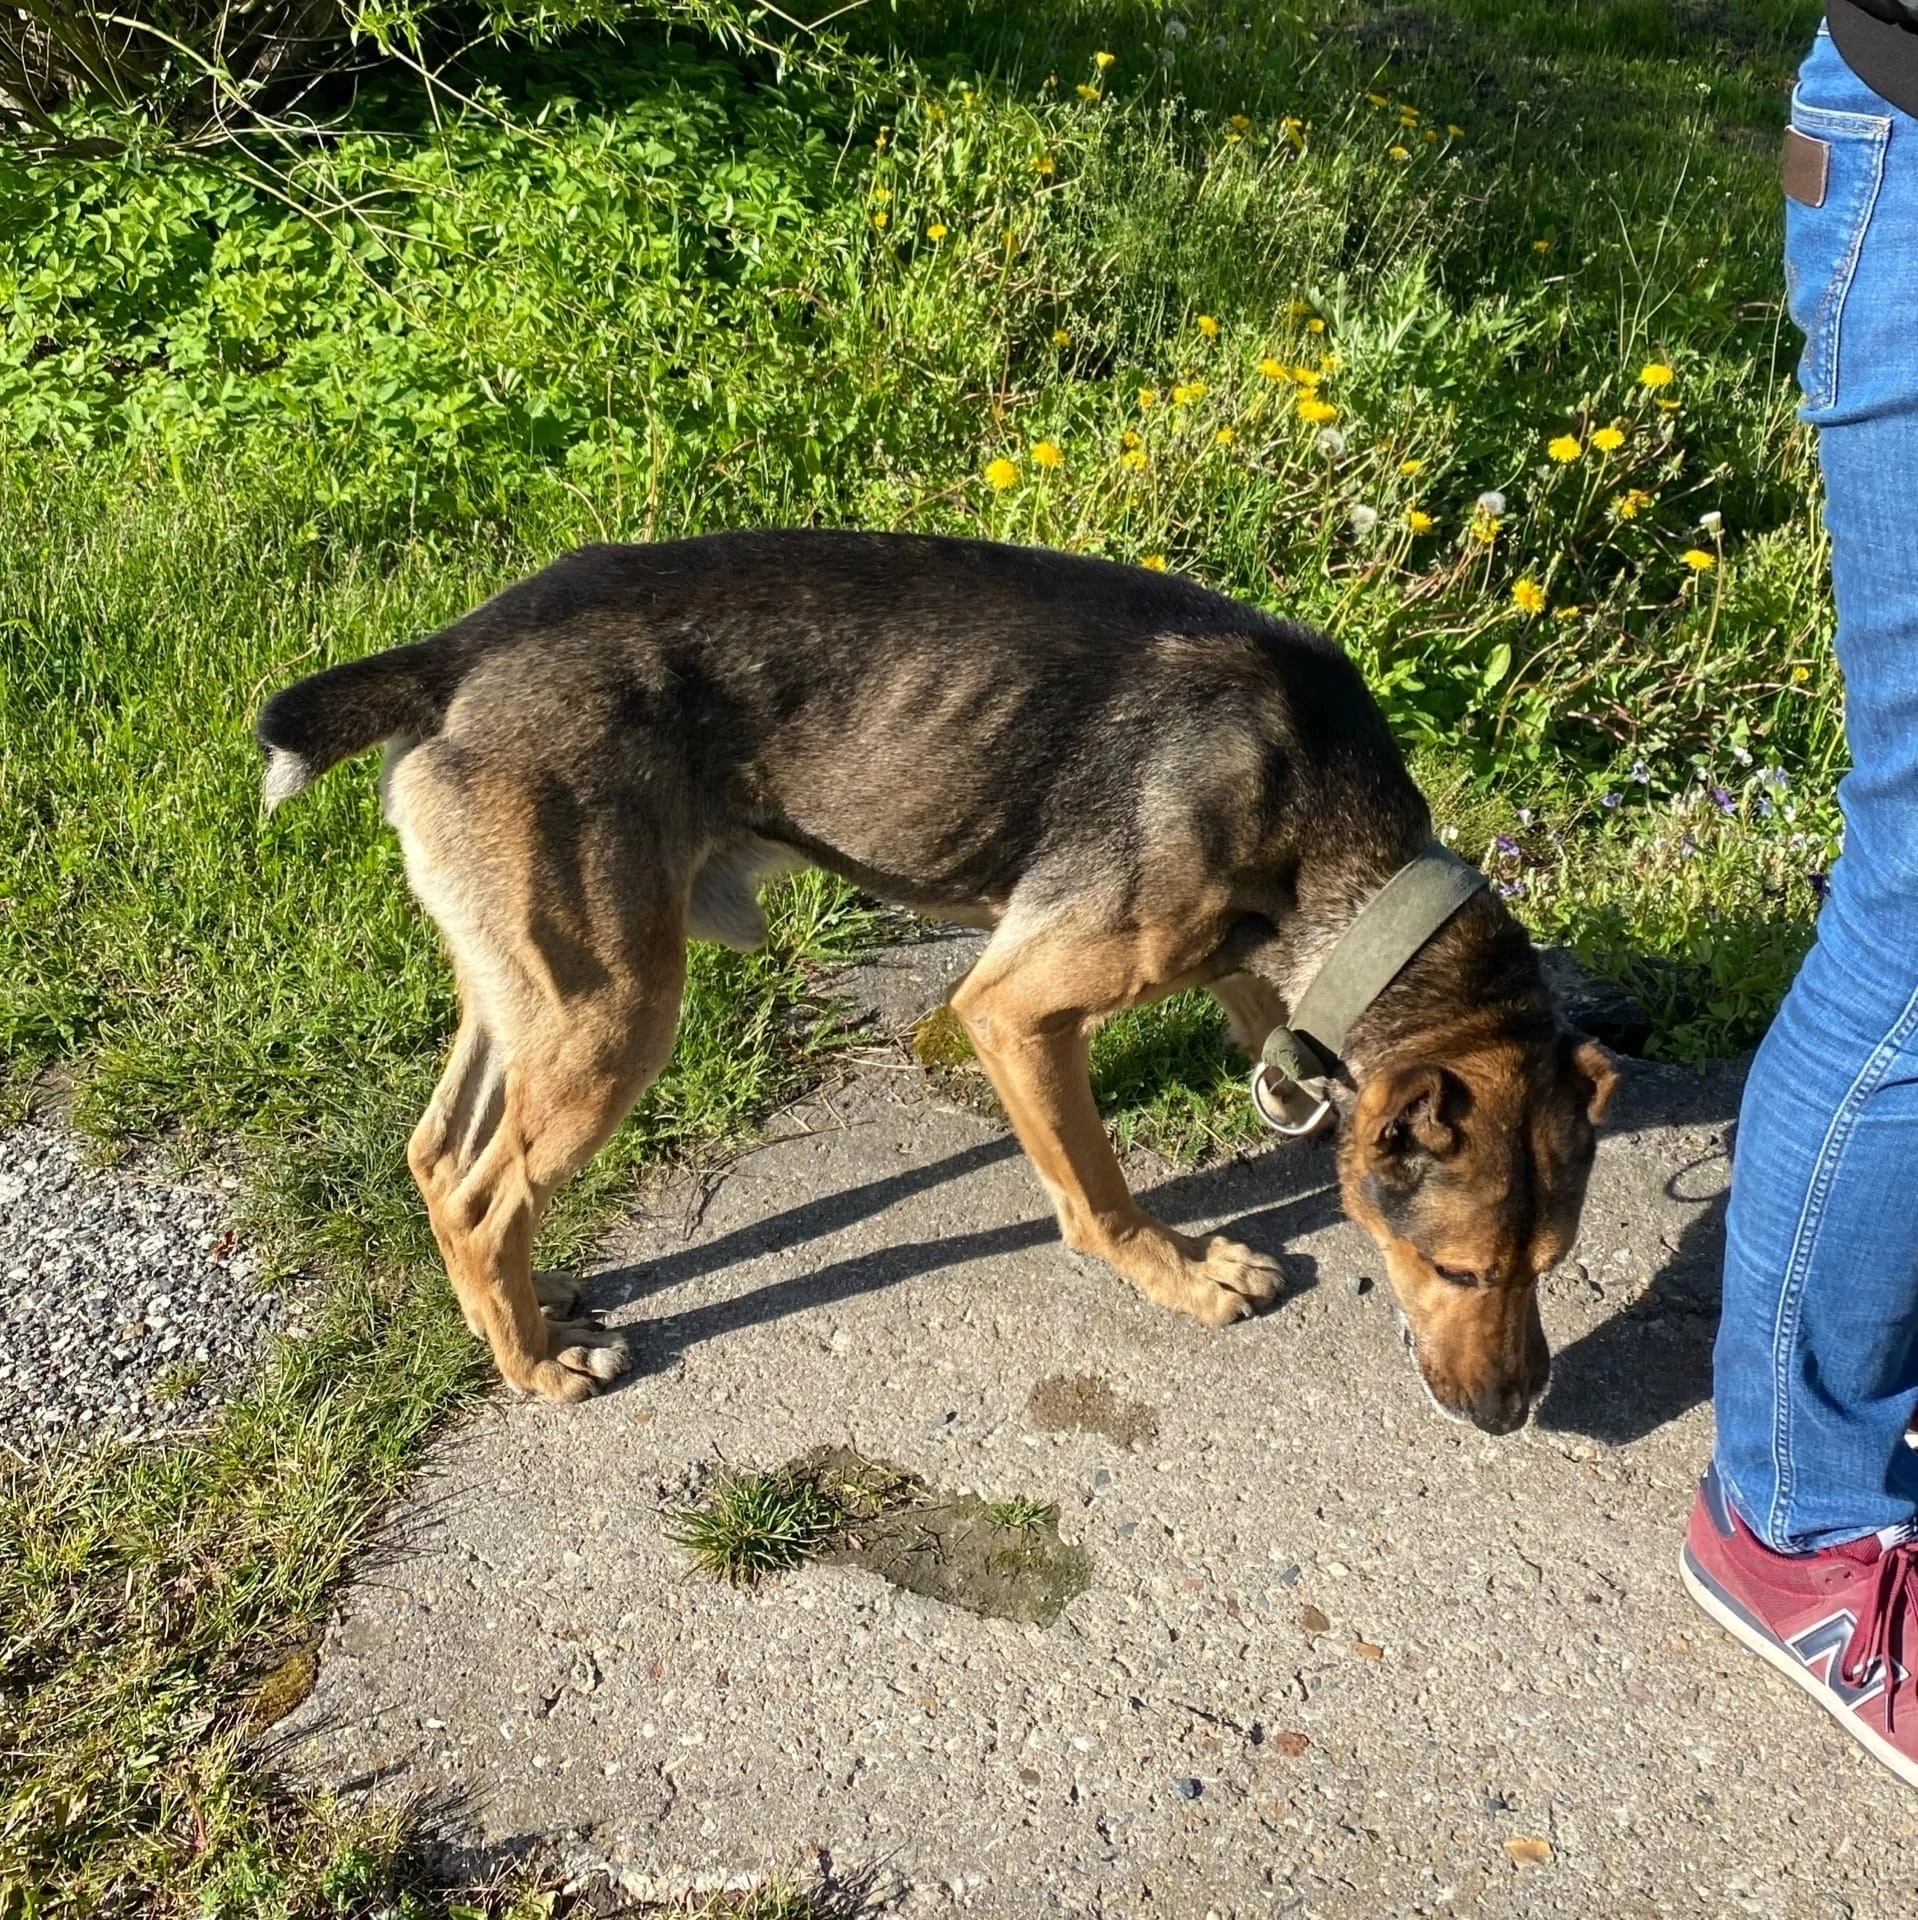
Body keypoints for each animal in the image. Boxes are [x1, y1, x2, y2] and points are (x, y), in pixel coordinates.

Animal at [251, 533, 1605, 1436]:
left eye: (1548, 1268)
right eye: (1460, 1271)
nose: (1511, 1412)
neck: (1329, 823)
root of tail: (456, 652)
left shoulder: (1259, 987)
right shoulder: (1013, 1011)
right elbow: (1096, 1194)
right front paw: (1177, 1274)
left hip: (532, 994)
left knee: (440, 1158)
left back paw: (520, 1322)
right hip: (614, 1014)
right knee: (484, 1196)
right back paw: (534, 1368)